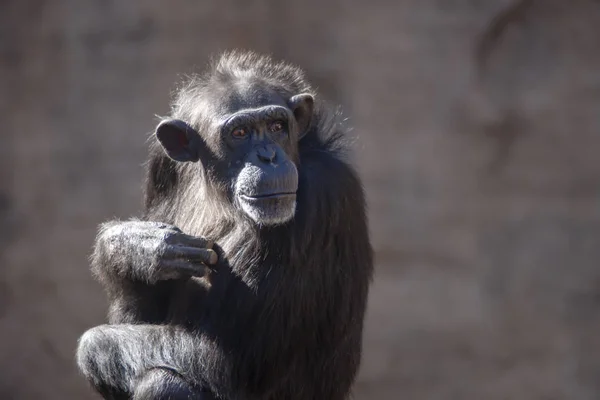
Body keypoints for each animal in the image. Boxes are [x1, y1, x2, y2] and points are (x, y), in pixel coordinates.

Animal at [77, 51, 372, 398]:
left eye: (277, 126)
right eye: (240, 133)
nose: (268, 156)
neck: (220, 193)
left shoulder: (322, 191)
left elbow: (222, 361)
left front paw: (93, 343)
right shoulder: (162, 168)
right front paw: (133, 247)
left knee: (165, 382)